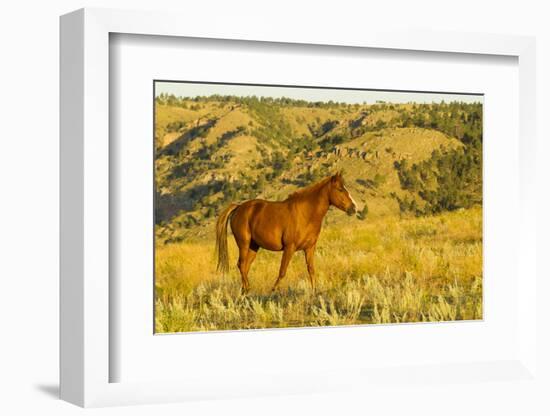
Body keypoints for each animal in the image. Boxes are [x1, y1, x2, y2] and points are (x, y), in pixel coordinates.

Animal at [213, 171, 360, 294]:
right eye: (340, 189)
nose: (354, 208)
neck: (306, 214)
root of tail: (239, 207)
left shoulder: (309, 248)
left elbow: (311, 270)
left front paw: (314, 291)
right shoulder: (290, 248)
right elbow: (282, 271)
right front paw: (273, 290)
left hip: (253, 246)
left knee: (245, 266)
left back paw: (245, 290)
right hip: (243, 244)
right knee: (241, 265)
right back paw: (247, 289)